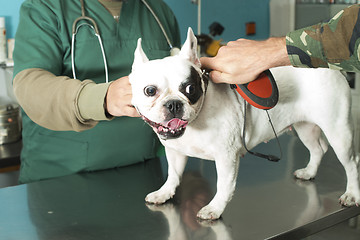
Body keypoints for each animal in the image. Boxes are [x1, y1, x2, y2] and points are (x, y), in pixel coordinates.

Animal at [129, 27, 360, 219]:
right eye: (150, 90)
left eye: (190, 89)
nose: (174, 104)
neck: (196, 123)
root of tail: (328, 68)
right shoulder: (175, 151)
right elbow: (173, 174)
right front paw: (164, 193)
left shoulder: (226, 157)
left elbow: (224, 185)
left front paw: (215, 208)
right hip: (305, 128)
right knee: (318, 149)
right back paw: (310, 172)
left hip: (338, 131)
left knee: (351, 163)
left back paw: (352, 194)